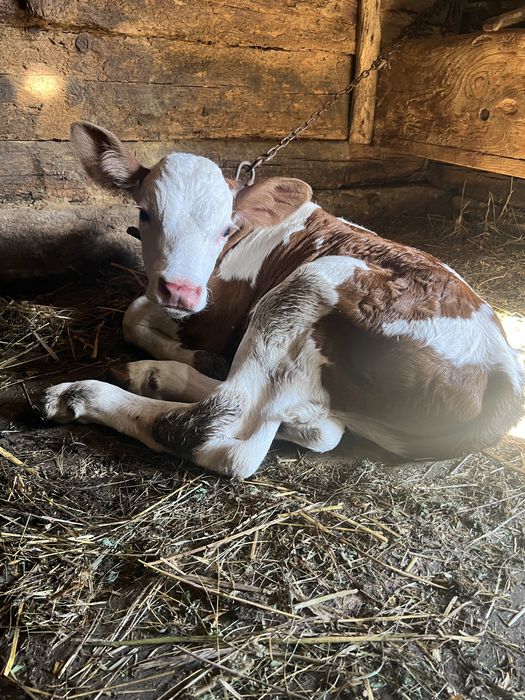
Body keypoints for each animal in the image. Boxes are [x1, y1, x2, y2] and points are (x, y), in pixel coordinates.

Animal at [39, 121, 524, 478]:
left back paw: (94, 391)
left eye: (225, 228)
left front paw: (191, 351)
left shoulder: (216, 315)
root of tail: (501, 366)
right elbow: (136, 312)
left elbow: (134, 314)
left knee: (225, 433)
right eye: (144, 213)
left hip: (311, 282)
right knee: (315, 425)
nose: (181, 289)